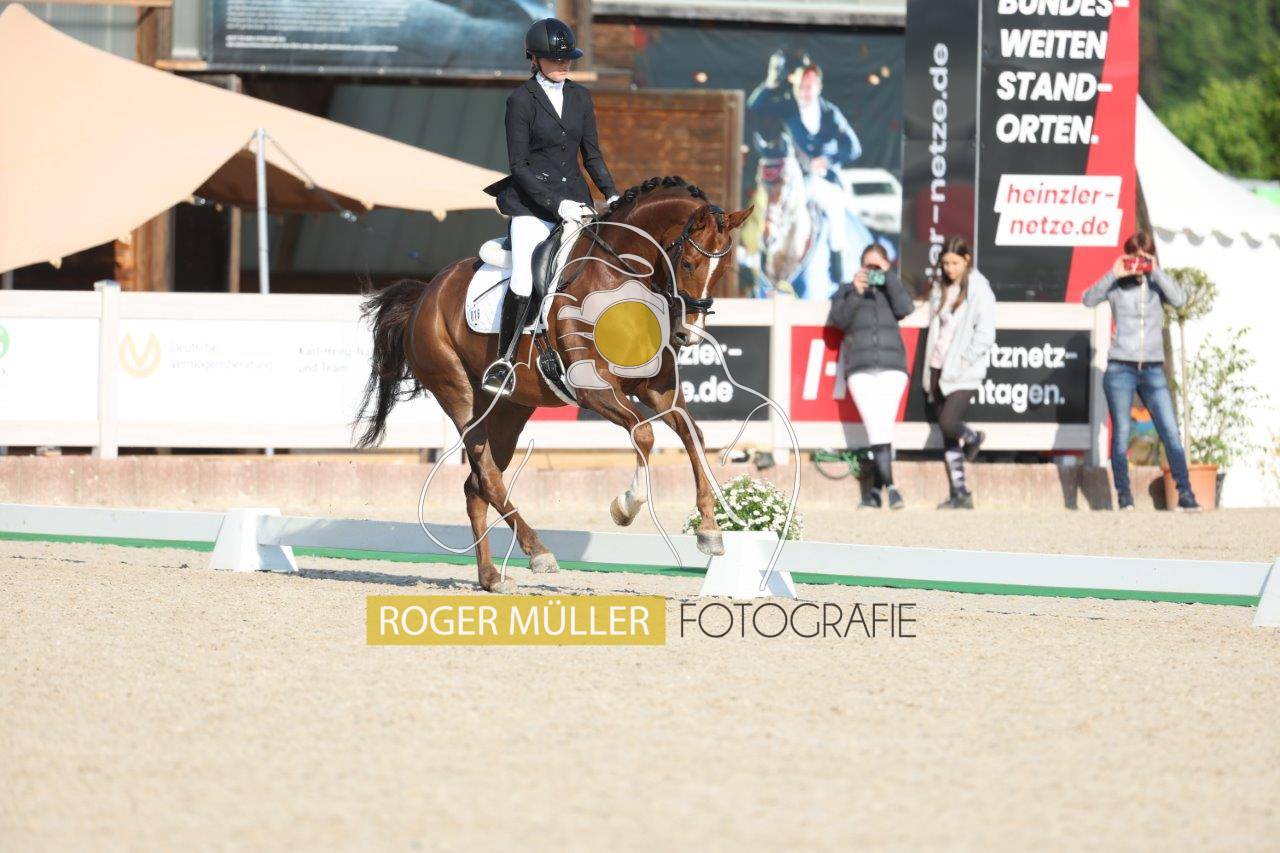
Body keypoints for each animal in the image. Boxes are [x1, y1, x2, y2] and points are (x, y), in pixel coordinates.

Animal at [353, 176, 753, 593]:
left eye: (723, 268)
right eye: (689, 263)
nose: (689, 334)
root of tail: (426, 294)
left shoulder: (657, 388)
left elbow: (694, 437)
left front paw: (709, 531)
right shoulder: (592, 389)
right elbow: (644, 435)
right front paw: (626, 506)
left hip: (510, 410)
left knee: (476, 486)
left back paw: (491, 577)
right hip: (458, 394)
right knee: (488, 477)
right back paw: (538, 551)